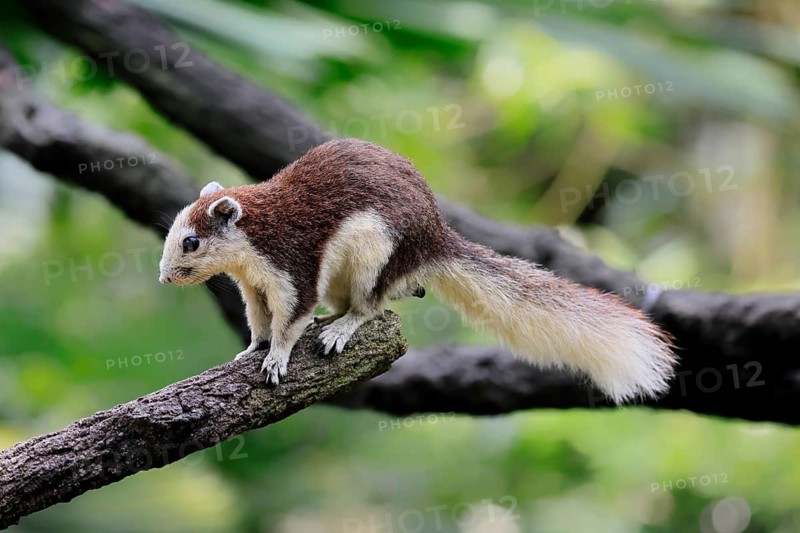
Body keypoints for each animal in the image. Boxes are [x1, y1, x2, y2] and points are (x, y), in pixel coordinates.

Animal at [159, 138, 675, 402]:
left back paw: (340, 329)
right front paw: (250, 351)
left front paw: (277, 359)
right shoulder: (253, 288)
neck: (256, 246)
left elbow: (290, 322)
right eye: (172, 233)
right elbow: (260, 323)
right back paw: (332, 320)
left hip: (375, 255)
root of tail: (435, 238)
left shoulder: (294, 270)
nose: (163, 277)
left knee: (371, 306)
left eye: (191, 241)